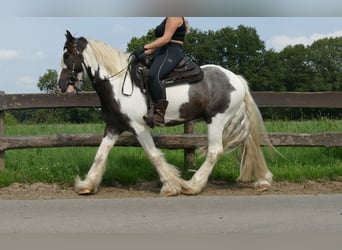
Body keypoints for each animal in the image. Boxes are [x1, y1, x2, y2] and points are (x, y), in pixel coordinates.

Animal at [58, 30, 272, 196]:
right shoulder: (113, 127)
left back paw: (192, 186)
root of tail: (235, 78)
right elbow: (100, 155)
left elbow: (153, 154)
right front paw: (87, 185)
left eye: (67, 55)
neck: (117, 84)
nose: (61, 85)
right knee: (249, 144)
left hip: (216, 120)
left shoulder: (139, 127)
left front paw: (171, 186)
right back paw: (262, 180)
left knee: (215, 151)